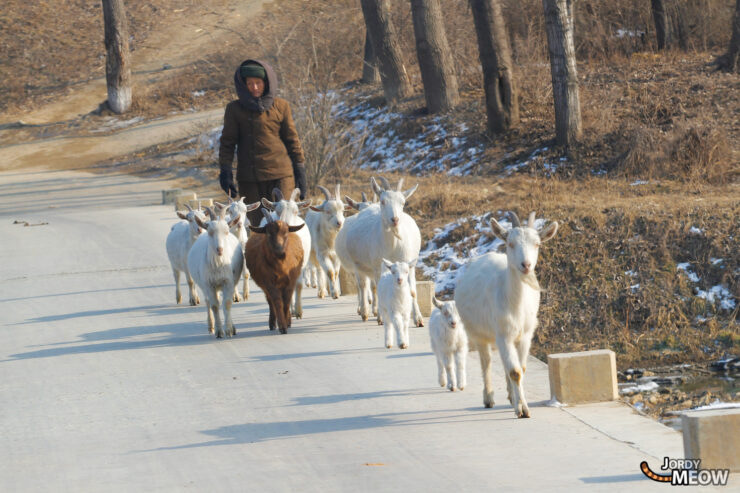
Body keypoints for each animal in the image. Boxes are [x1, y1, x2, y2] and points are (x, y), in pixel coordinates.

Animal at [186, 206, 244, 336]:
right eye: (210, 232)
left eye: (226, 231)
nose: (220, 250)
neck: (218, 264)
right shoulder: (209, 283)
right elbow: (214, 306)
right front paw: (219, 331)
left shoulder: (228, 282)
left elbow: (227, 303)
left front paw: (229, 330)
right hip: (205, 285)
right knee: (208, 301)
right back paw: (211, 326)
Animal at [260, 186, 312, 318]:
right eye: (278, 211)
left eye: (295, 211)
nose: (286, 227)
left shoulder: (300, 265)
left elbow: (298, 285)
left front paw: (298, 311)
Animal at [336, 177, 422, 326]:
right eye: (383, 201)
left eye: (403, 202)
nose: (395, 219)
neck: (393, 244)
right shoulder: (377, 266)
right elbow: (377, 287)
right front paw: (381, 318)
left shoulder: (409, 264)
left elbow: (412, 291)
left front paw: (418, 319)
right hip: (359, 265)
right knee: (363, 285)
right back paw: (365, 312)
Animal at [454, 209, 556, 418]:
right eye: (510, 243)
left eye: (537, 244)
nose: (526, 265)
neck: (515, 305)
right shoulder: (503, 333)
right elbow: (515, 371)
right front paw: (523, 409)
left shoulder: (525, 335)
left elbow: (520, 369)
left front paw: (519, 403)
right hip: (479, 333)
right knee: (486, 362)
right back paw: (488, 398)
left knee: (503, 362)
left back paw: (510, 396)